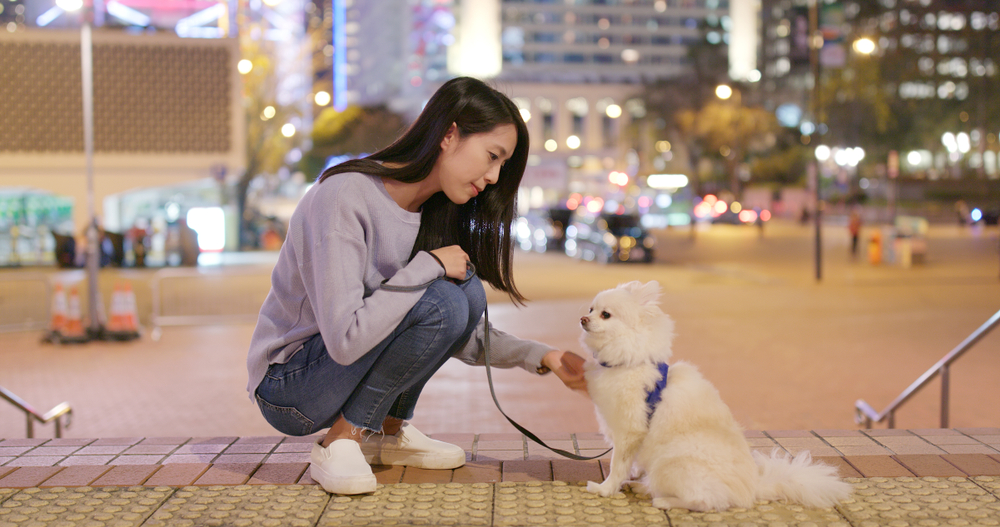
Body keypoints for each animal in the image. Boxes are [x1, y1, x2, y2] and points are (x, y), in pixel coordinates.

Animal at [580, 282, 852, 512]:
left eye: (605, 314)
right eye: (591, 309)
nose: (583, 318)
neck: (629, 360)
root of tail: (752, 491)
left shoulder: (629, 430)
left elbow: (617, 465)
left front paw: (604, 489)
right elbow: (632, 463)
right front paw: (633, 474)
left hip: (672, 463)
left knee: (705, 501)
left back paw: (663, 500)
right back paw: (642, 486)